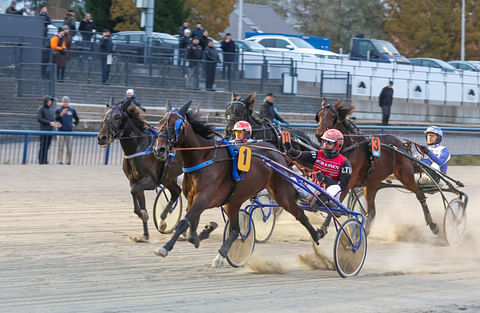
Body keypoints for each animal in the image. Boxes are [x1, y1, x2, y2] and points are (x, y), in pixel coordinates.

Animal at [97, 97, 186, 241]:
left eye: (117, 117)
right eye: (104, 116)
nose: (102, 138)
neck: (138, 147)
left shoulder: (150, 181)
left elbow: (134, 191)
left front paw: (142, 214)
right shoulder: (134, 180)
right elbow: (137, 196)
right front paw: (144, 234)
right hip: (168, 179)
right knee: (176, 192)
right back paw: (165, 223)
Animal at [153, 100, 326, 260]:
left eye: (175, 124)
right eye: (160, 123)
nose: (159, 149)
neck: (205, 158)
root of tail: (276, 152)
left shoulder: (204, 198)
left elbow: (184, 222)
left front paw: (165, 247)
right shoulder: (191, 199)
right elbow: (190, 227)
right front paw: (201, 233)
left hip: (281, 192)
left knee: (299, 213)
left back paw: (317, 235)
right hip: (234, 200)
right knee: (236, 230)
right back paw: (222, 253)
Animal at [316, 99, 438, 234]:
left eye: (333, 116)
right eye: (319, 115)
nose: (319, 135)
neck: (350, 147)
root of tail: (402, 145)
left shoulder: (348, 183)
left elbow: (336, 202)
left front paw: (323, 228)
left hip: (405, 175)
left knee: (420, 194)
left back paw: (433, 224)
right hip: (372, 183)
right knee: (372, 211)